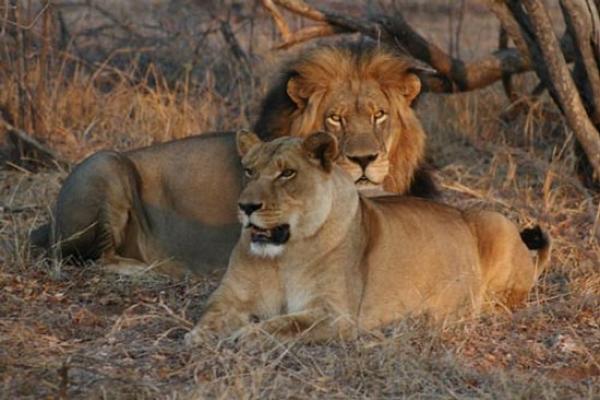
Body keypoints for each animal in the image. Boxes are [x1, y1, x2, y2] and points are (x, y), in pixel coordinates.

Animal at [31, 43, 436, 276]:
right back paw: (165, 267)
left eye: (379, 115)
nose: (364, 159)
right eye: (335, 118)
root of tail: (46, 226)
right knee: (95, 259)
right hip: (105, 164)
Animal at [185, 132, 552, 344]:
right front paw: (200, 337)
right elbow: (211, 316)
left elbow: (280, 326)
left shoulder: (335, 314)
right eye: (249, 171)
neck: (281, 257)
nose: (246, 206)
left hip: (494, 221)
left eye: (287, 173)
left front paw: (243, 336)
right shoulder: (228, 297)